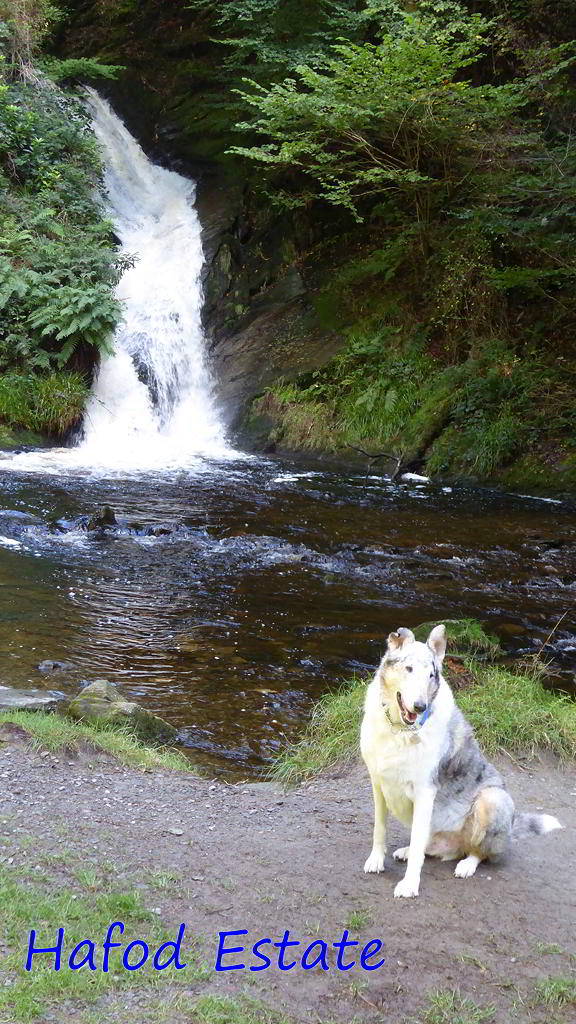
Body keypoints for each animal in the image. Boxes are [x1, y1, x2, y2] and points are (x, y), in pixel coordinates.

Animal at [358, 622, 561, 897]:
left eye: (431, 675)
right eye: (408, 669)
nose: (420, 707)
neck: (399, 731)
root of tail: (511, 828)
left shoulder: (425, 792)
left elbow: (417, 846)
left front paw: (409, 885)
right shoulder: (378, 783)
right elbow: (380, 828)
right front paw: (376, 860)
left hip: (493, 799)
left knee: (478, 852)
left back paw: (466, 864)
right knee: (426, 845)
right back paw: (409, 850)